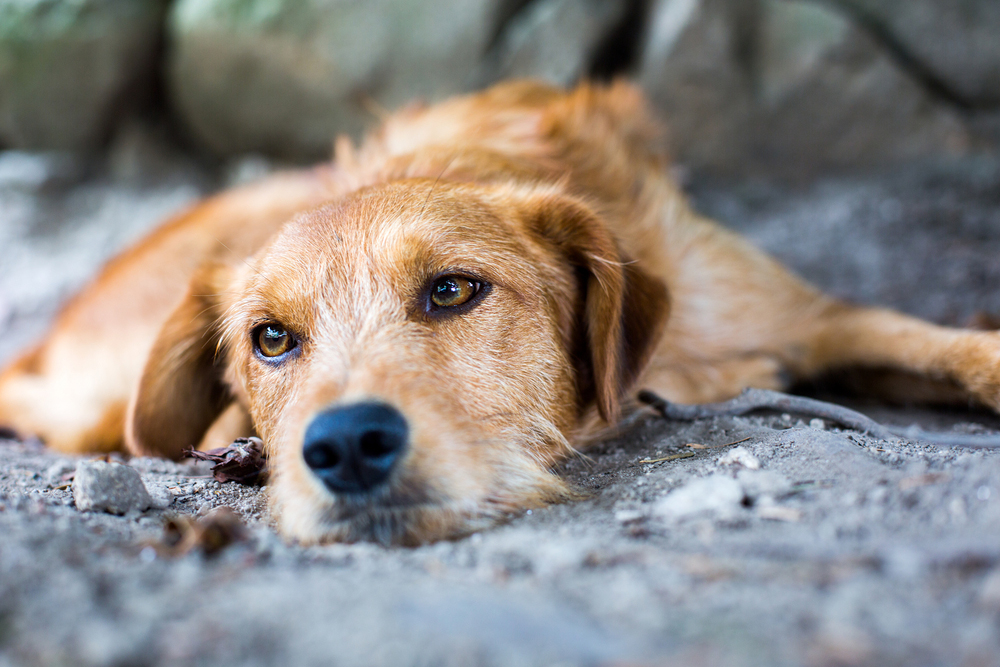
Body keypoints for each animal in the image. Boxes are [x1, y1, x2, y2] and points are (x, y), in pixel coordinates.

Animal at [1, 81, 1000, 544]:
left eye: (452, 289)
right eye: (271, 338)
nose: (346, 446)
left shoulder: (813, 316)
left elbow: (944, 344)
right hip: (103, 404)